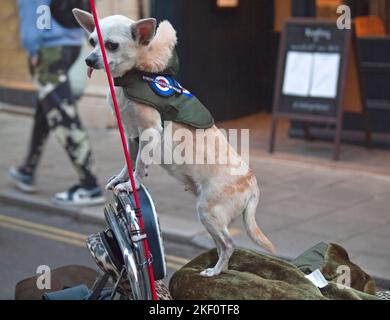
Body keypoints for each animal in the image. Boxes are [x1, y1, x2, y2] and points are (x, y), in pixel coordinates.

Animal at [73, 8, 274, 276]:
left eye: (112, 45)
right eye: (92, 42)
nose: (89, 60)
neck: (135, 73)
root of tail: (252, 184)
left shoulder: (149, 132)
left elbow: (140, 165)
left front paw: (133, 185)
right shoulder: (133, 135)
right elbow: (130, 161)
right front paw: (122, 179)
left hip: (208, 212)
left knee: (229, 244)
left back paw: (215, 271)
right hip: (208, 216)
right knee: (222, 244)